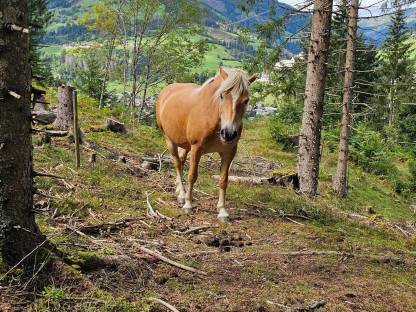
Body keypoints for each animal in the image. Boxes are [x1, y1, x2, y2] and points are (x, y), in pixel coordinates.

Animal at [156, 67, 256, 222]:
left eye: (246, 100)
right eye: (222, 96)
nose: (228, 133)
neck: (214, 115)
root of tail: (166, 91)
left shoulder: (229, 152)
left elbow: (223, 180)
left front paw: (222, 211)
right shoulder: (196, 149)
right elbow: (192, 175)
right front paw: (188, 204)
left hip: (185, 145)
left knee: (181, 160)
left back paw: (179, 189)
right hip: (169, 140)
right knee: (177, 163)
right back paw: (182, 194)